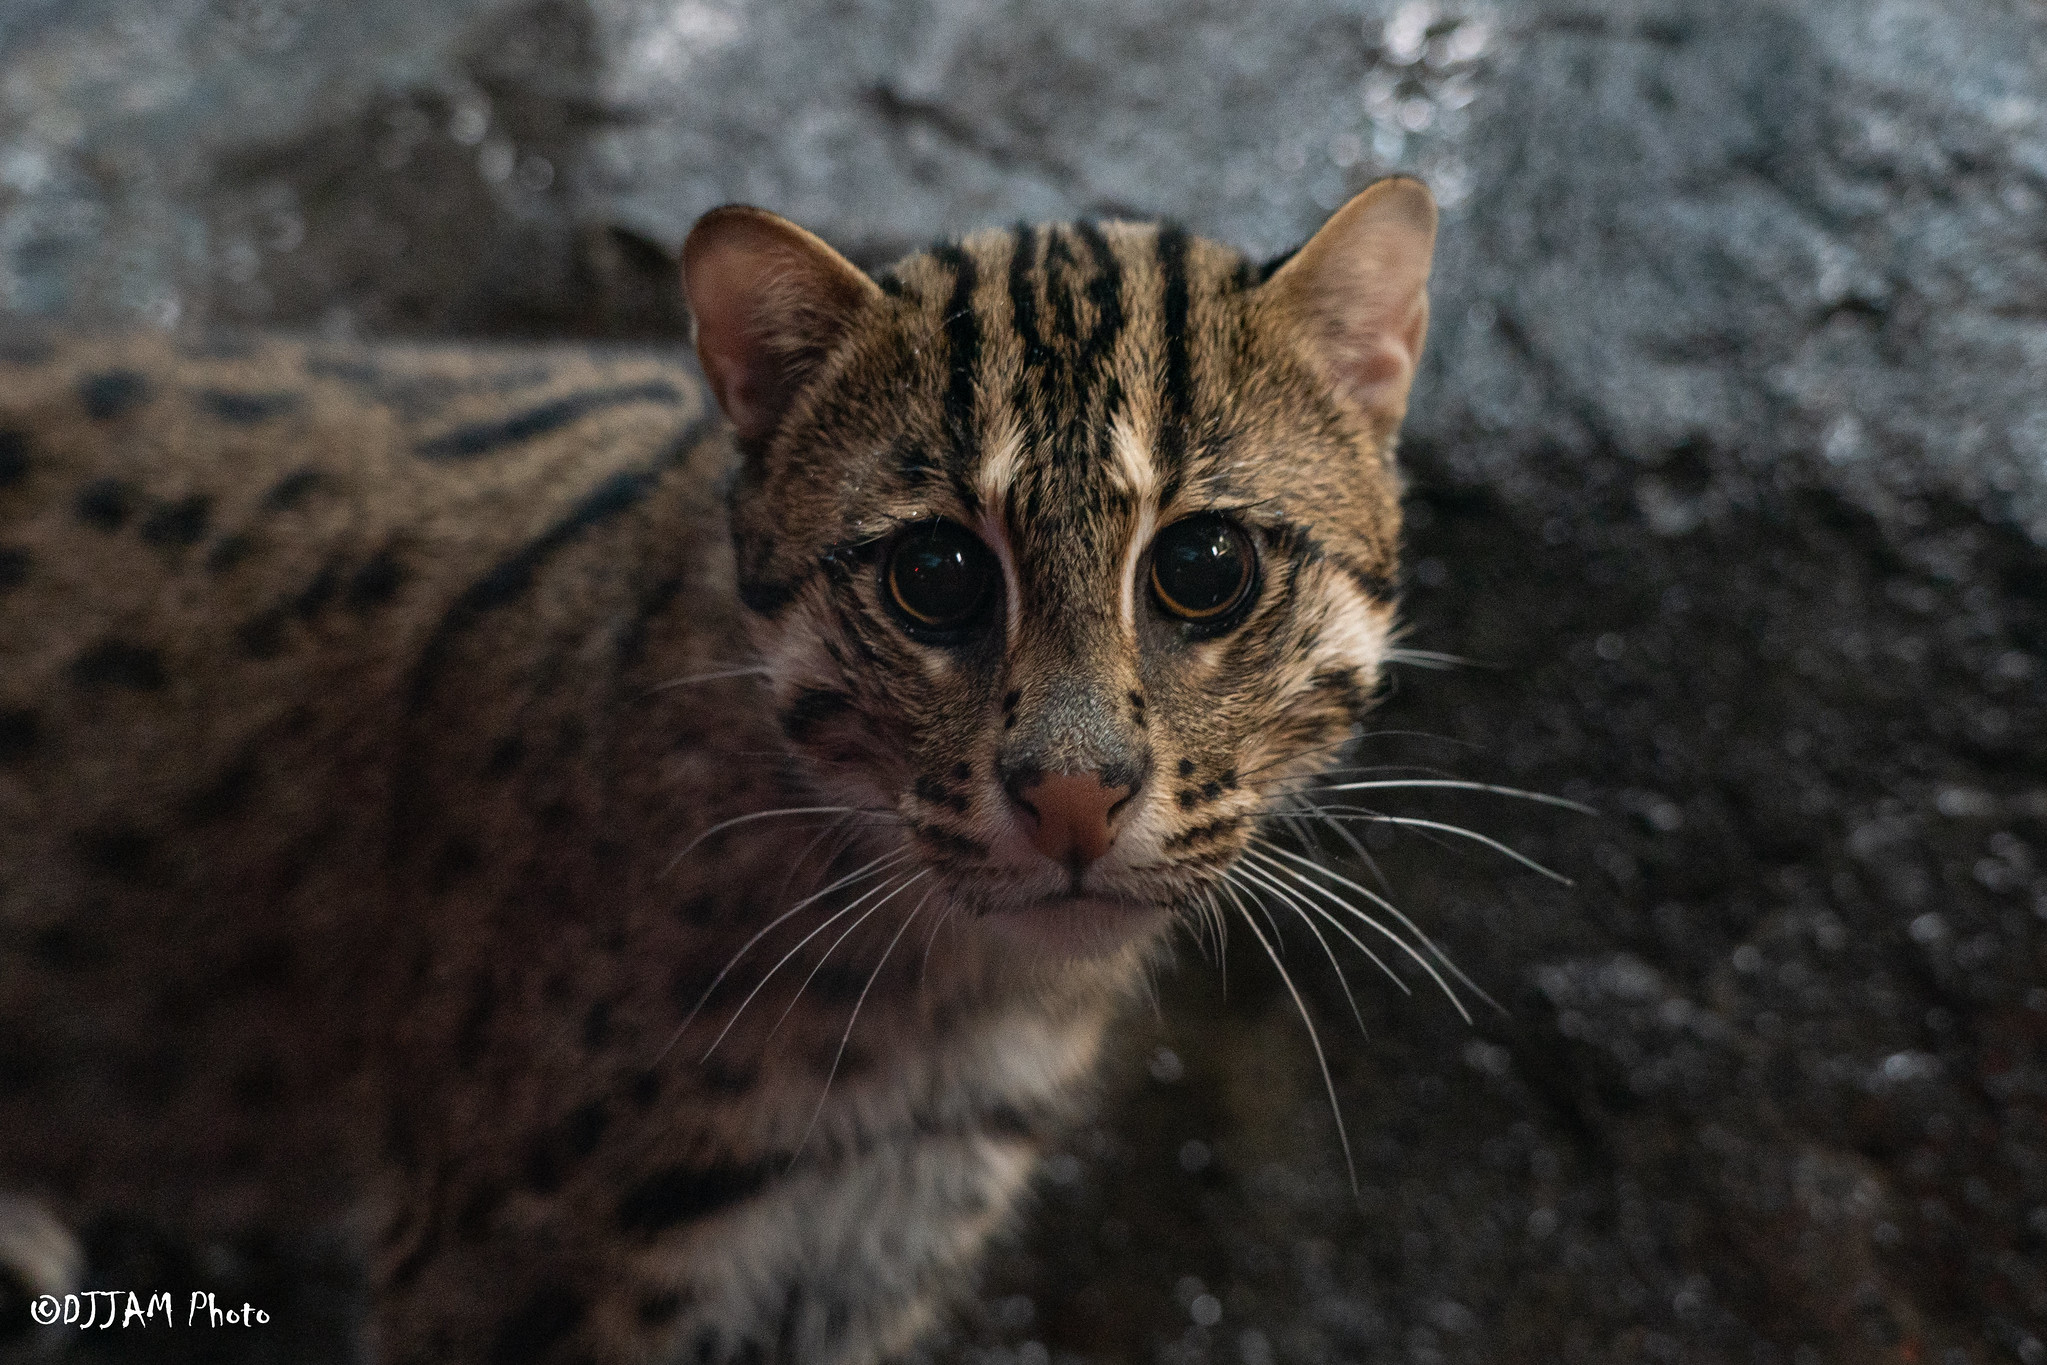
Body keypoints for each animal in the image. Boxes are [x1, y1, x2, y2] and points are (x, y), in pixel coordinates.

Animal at [0, 175, 1441, 1358]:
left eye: (1204, 566)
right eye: (935, 574)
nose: (1074, 795)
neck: (947, 1015)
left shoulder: (875, 1246)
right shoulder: (530, 1261)